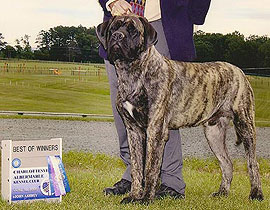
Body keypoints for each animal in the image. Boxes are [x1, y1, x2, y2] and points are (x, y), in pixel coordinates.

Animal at [96, 14, 264, 203]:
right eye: (113, 28)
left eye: (133, 31)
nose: (118, 36)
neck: (133, 72)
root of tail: (239, 71)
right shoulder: (133, 130)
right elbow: (137, 168)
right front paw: (133, 196)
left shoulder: (155, 129)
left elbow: (150, 168)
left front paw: (146, 199)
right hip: (214, 132)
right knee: (227, 163)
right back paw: (222, 192)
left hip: (245, 124)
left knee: (253, 162)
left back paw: (256, 194)